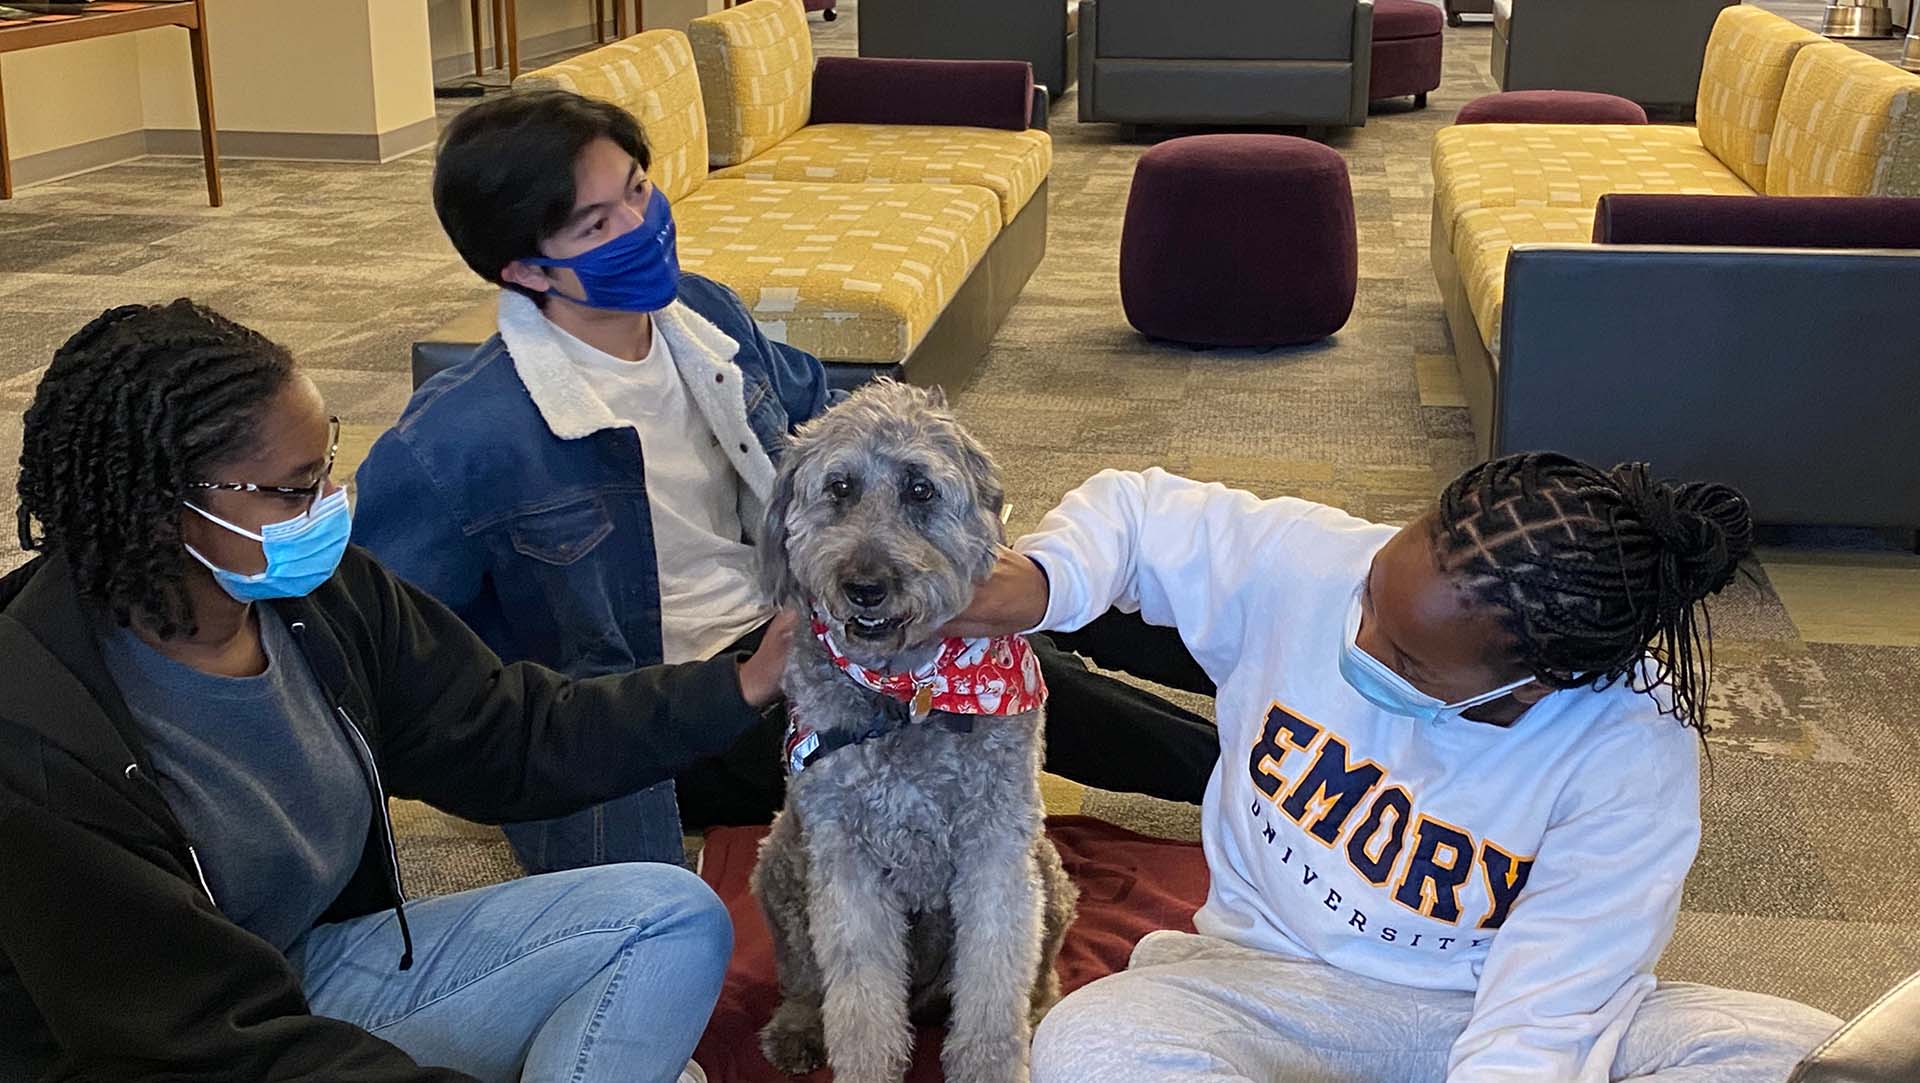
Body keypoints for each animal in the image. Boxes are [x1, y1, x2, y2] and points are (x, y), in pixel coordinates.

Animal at [748, 378, 1082, 1083]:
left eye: (920, 489)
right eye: (840, 487)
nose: (865, 587)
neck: (911, 694)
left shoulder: (997, 851)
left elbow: (994, 991)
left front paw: (993, 1064)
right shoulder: (845, 861)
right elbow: (860, 1006)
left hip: (1048, 872)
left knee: (1039, 974)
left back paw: (1042, 1014)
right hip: (783, 857)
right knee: (803, 979)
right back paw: (797, 1029)